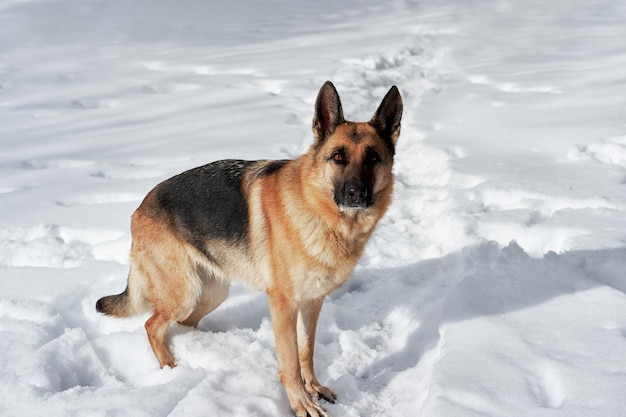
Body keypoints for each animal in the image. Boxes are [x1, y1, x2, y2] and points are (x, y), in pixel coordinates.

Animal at [97, 81, 400, 416]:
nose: (356, 193)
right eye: (337, 157)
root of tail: (140, 207)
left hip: (212, 293)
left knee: (182, 324)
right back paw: (171, 368)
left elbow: (306, 351)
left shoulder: (312, 302)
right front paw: (300, 403)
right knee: (152, 325)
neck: (319, 211)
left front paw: (314, 387)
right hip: (183, 292)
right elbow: (291, 362)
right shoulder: (283, 305)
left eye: (373, 159)